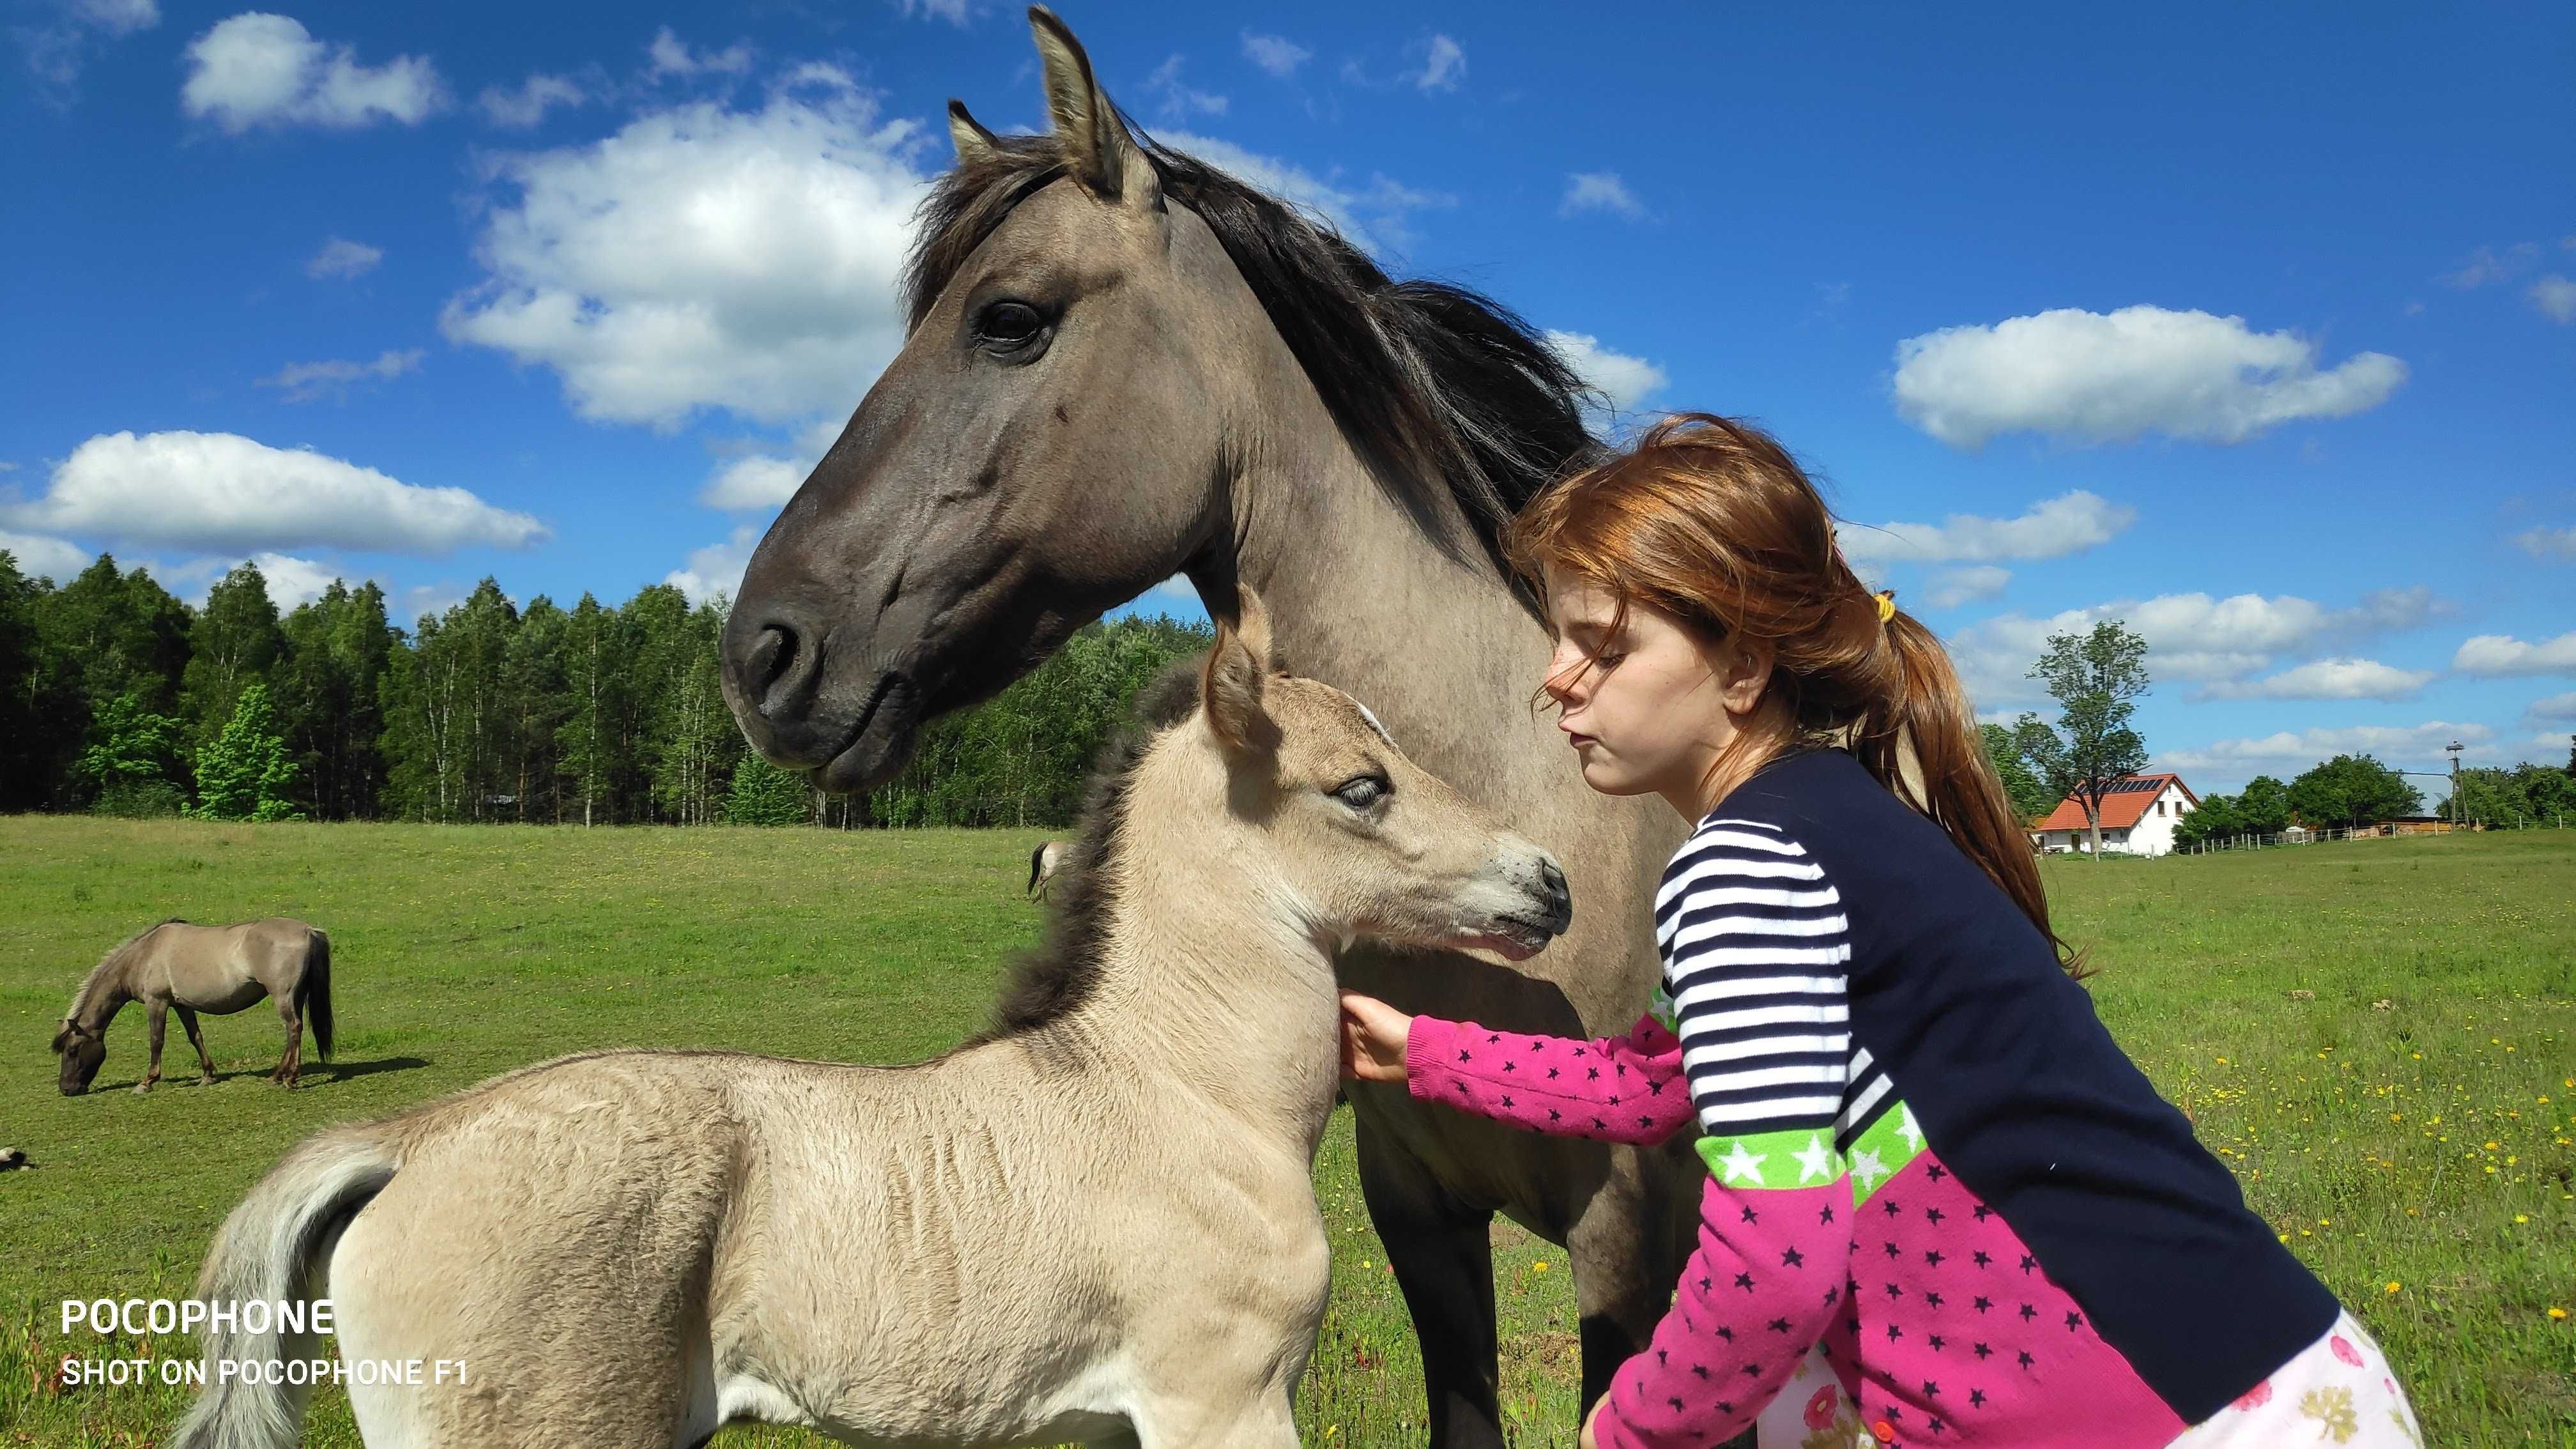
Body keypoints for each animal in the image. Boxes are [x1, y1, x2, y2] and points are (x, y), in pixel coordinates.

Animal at [50, 917, 335, 1088]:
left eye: (72, 1050)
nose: (66, 1089)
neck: (145, 955)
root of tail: (307, 930)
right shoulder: (182, 1005)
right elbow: (195, 1037)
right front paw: (207, 1075)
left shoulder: (157, 1002)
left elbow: (156, 1041)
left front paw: (147, 1081)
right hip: (293, 996)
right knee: (293, 1031)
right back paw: (279, 1076)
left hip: (282, 996)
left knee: (293, 1029)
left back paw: (289, 1078)